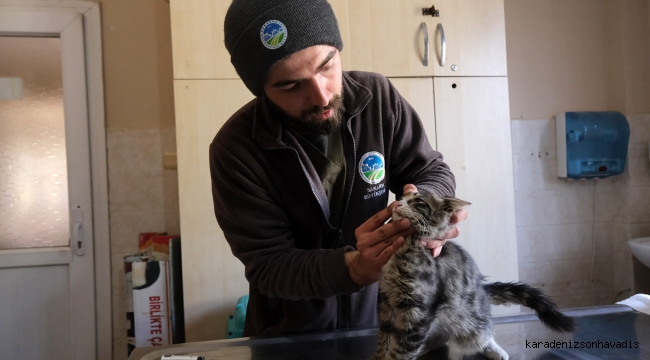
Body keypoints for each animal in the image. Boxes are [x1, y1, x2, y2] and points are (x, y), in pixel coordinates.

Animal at [374, 190, 572, 358]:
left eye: (418, 202)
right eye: (401, 197)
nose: (396, 204)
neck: (404, 246)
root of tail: (481, 288)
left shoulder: (417, 311)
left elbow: (401, 351)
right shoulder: (386, 303)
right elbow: (384, 343)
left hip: (470, 321)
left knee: (483, 333)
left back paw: (496, 351)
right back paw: (425, 348)